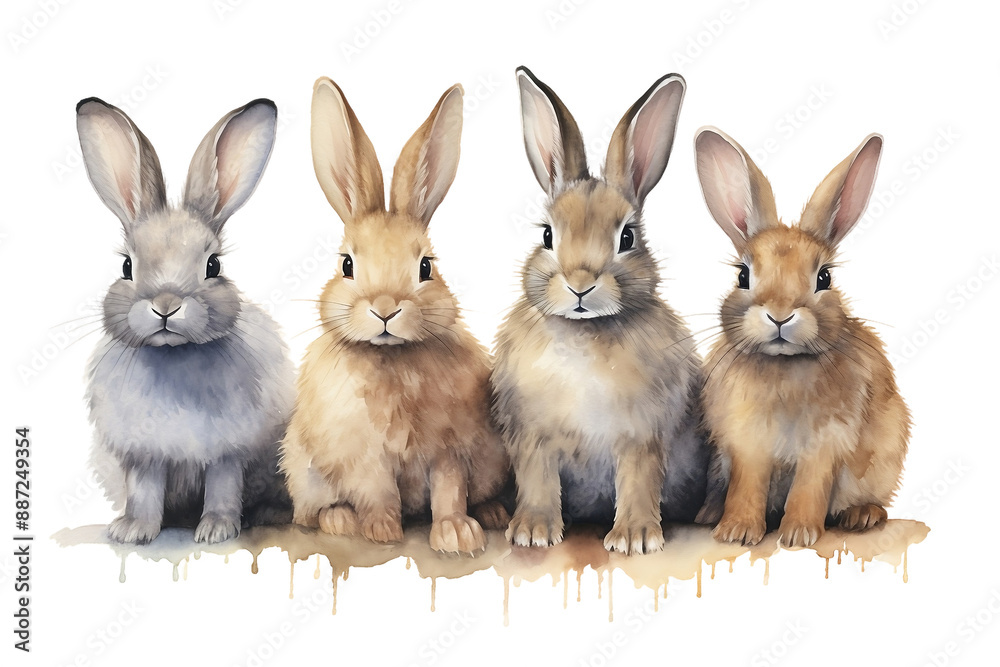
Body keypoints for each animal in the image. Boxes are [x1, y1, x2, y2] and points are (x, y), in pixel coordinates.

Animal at [78, 97, 295, 545]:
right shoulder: (144, 454)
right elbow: (144, 490)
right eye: (126, 266)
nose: (166, 304)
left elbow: (223, 486)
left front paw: (216, 530)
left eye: (213, 265)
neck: (173, 355)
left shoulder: (228, 451)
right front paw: (132, 531)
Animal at [279, 77, 510, 554]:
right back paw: (339, 520)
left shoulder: (449, 450)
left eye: (426, 266)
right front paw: (381, 530)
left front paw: (456, 534)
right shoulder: (363, 456)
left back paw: (494, 513)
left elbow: (449, 491)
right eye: (347, 265)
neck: (392, 358)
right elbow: (378, 491)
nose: (385, 310)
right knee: (312, 512)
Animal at [491, 67, 709, 556]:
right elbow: (537, 480)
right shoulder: (532, 437)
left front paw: (635, 539)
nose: (580, 285)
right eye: (547, 235)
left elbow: (638, 482)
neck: (584, 334)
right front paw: (532, 532)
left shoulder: (642, 436)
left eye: (627, 237)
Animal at [692, 127, 911, 548]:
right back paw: (708, 513)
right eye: (742, 275)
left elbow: (810, 487)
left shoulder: (826, 442)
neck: (784, 366)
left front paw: (798, 535)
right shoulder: (746, 443)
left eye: (824, 277)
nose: (781, 315)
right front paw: (736, 532)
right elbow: (747, 485)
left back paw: (862, 515)